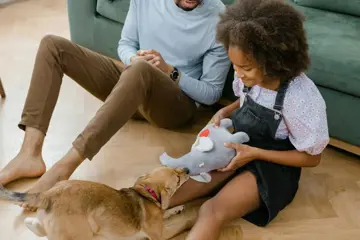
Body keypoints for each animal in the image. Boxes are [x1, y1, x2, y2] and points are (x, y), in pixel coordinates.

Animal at [0, 167, 190, 240]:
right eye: (177, 178)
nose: (187, 169)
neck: (148, 194)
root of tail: (47, 194)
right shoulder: (158, 236)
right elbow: (173, 226)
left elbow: (167, 211)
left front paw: (177, 208)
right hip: (79, 234)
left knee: (39, 229)